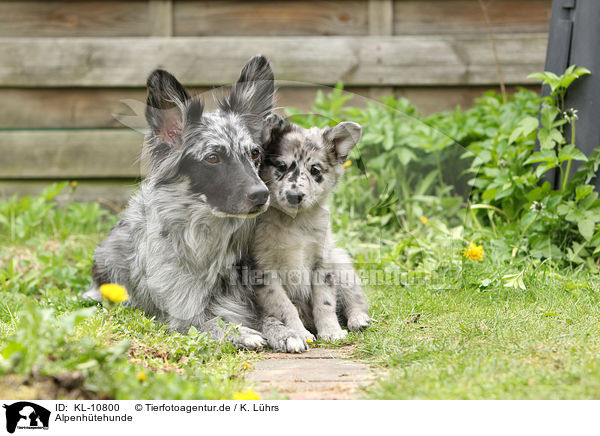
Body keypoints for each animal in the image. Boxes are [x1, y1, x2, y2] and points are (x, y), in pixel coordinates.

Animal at [85, 55, 276, 350]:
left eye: (254, 153)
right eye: (212, 158)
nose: (261, 194)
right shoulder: (182, 318)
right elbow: (213, 322)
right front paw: (241, 332)